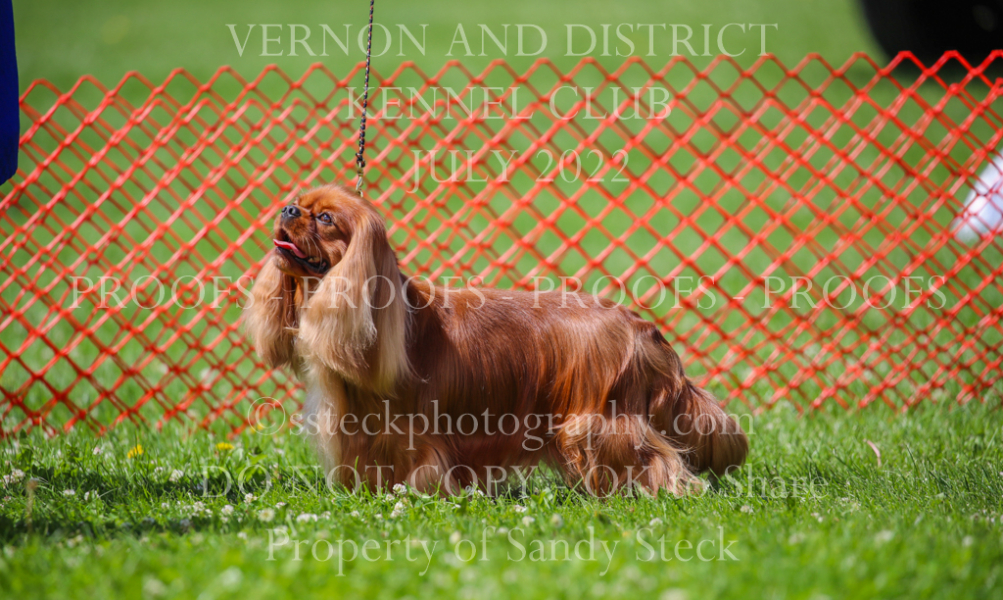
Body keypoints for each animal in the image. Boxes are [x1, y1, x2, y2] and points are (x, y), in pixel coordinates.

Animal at [244, 184, 748, 496]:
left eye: (326, 218)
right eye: (297, 203)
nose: (289, 210)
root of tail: (639, 326)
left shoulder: (410, 435)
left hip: (602, 422)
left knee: (654, 458)